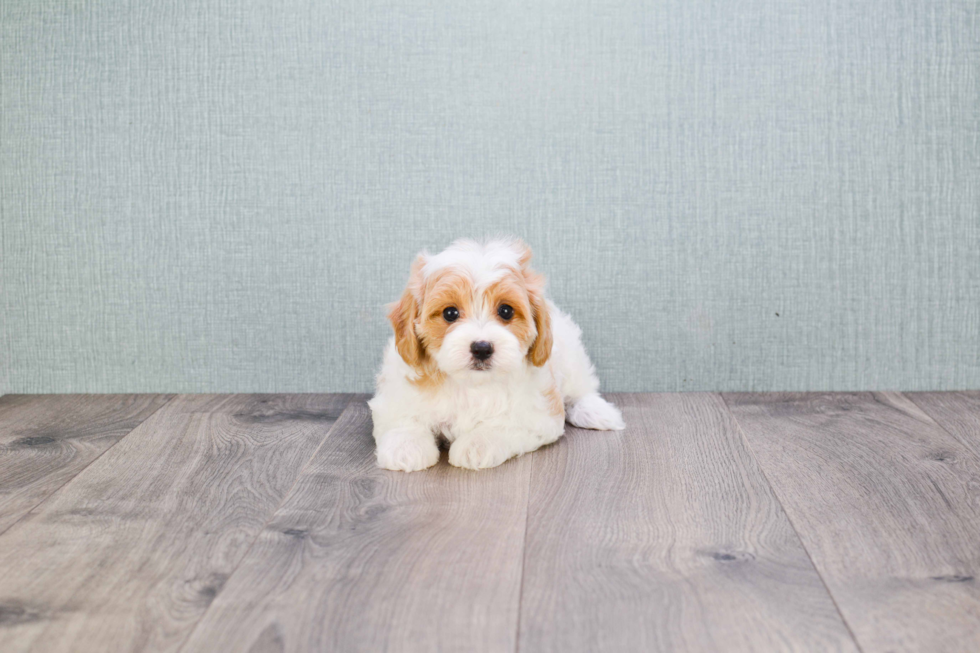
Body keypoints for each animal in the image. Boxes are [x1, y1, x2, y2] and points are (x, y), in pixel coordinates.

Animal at [368, 237, 620, 472]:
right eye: (450, 313)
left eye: (505, 311)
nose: (481, 347)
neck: (470, 385)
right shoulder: (396, 394)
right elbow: (402, 417)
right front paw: (406, 447)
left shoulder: (538, 413)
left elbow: (503, 425)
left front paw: (476, 445)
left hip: (571, 355)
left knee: (581, 388)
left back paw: (597, 412)